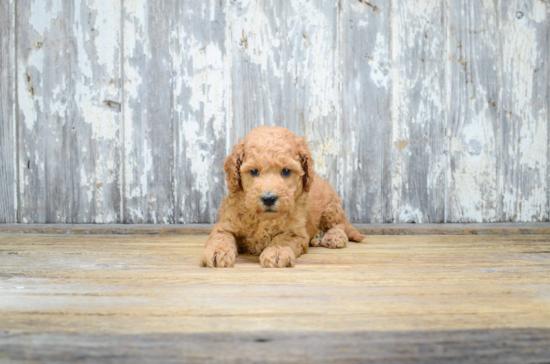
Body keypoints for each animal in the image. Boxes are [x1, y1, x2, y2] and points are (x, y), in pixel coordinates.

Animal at [199, 126, 366, 268]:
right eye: (253, 171)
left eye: (286, 171)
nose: (268, 198)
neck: (263, 219)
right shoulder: (225, 224)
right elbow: (221, 237)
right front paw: (217, 252)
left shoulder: (296, 233)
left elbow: (283, 239)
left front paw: (276, 252)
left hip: (331, 208)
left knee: (339, 225)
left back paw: (334, 237)